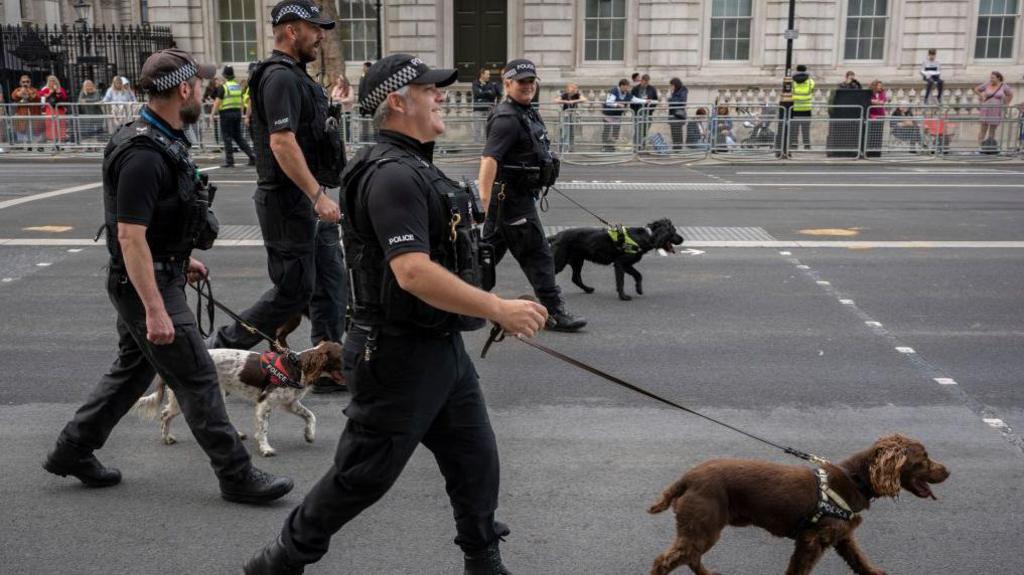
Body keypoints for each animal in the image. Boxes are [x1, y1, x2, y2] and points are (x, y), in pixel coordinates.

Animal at [548, 216, 684, 300]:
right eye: (673, 232)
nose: (682, 239)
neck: (647, 236)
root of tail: (556, 235)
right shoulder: (620, 263)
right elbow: (621, 281)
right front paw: (623, 297)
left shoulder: (627, 265)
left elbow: (638, 275)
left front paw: (638, 289)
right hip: (560, 261)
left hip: (577, 261)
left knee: (575, 278)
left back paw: (588, 289)